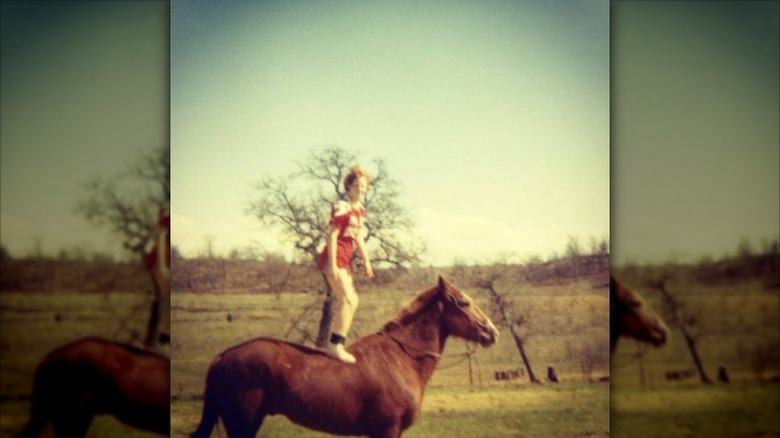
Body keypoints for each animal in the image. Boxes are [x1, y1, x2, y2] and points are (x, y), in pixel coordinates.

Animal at [193, 278, 502, 438]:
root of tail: (222, 358)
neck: (401, 358)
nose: (492, 332)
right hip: (242, 424)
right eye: (464, 302)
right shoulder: (387, 431)